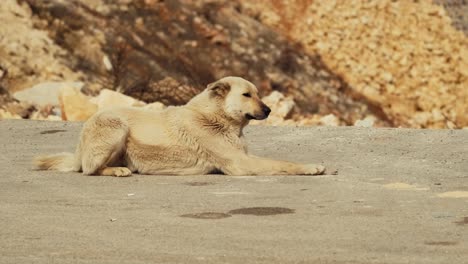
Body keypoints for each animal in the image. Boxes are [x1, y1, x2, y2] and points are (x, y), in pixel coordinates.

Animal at [34, 76, 326, 177]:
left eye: (258, 94)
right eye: (247, 95)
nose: (268, 110)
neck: (216, 118)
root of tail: (79, 148)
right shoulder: (241, 164)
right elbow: (282, 163)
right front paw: (311, 167)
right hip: (116, 126)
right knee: (90, 169)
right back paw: (116, 170)